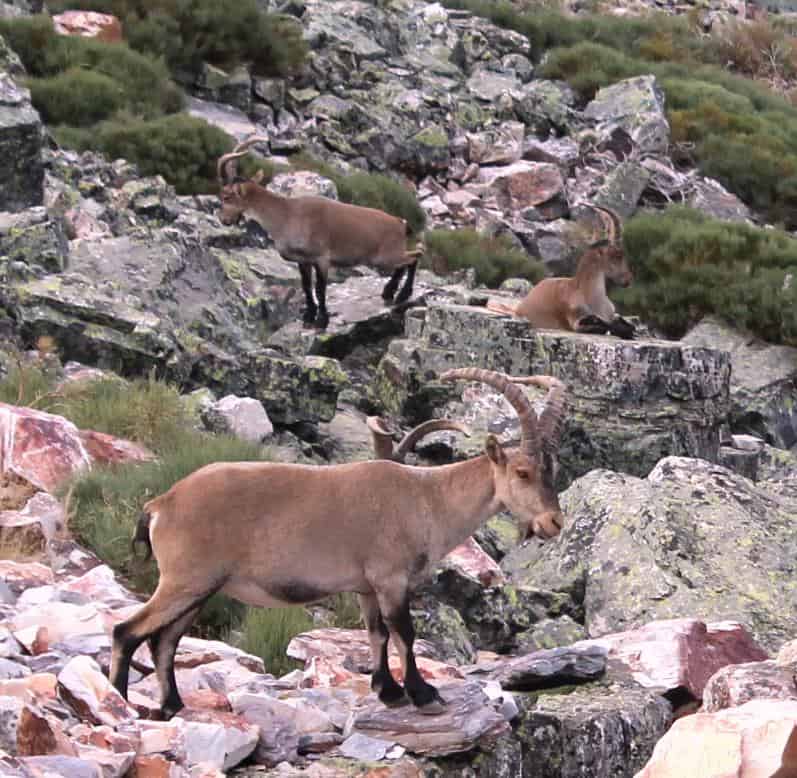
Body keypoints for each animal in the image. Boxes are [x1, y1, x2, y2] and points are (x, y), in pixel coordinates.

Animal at [109, 369, 568, 720]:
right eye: (523, 472)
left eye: (552, 469)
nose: (554, 522)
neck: (427, 498)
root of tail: (161, 504)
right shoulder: (390, 578)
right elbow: (404, 632)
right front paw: (423, 694)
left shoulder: (366, 587)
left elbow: (376, 633)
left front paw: (388, 691)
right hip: (184, 581)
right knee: (126, 631)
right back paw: (121, 702)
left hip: (200, 588)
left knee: (163, 640)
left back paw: (171, 706)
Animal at [217, 138, 423, 330]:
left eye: (226, 196)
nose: (223, 219)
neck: (287, 215)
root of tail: (401, 223)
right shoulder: (303, 261)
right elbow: (307, 287)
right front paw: (308, 318)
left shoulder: (322, 258)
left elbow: (320, 289)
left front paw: (322, 321)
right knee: (408, 261)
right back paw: (389, 293)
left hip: (385, 257)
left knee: (413, 258)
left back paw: (401, 294)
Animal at [488, 205, 636, 339]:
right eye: (617, 255)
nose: (628, 280)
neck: (591, 296)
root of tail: (519, 308)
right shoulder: (576, 320)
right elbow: (603, 326)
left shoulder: (611, 315)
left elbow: (625, 325)